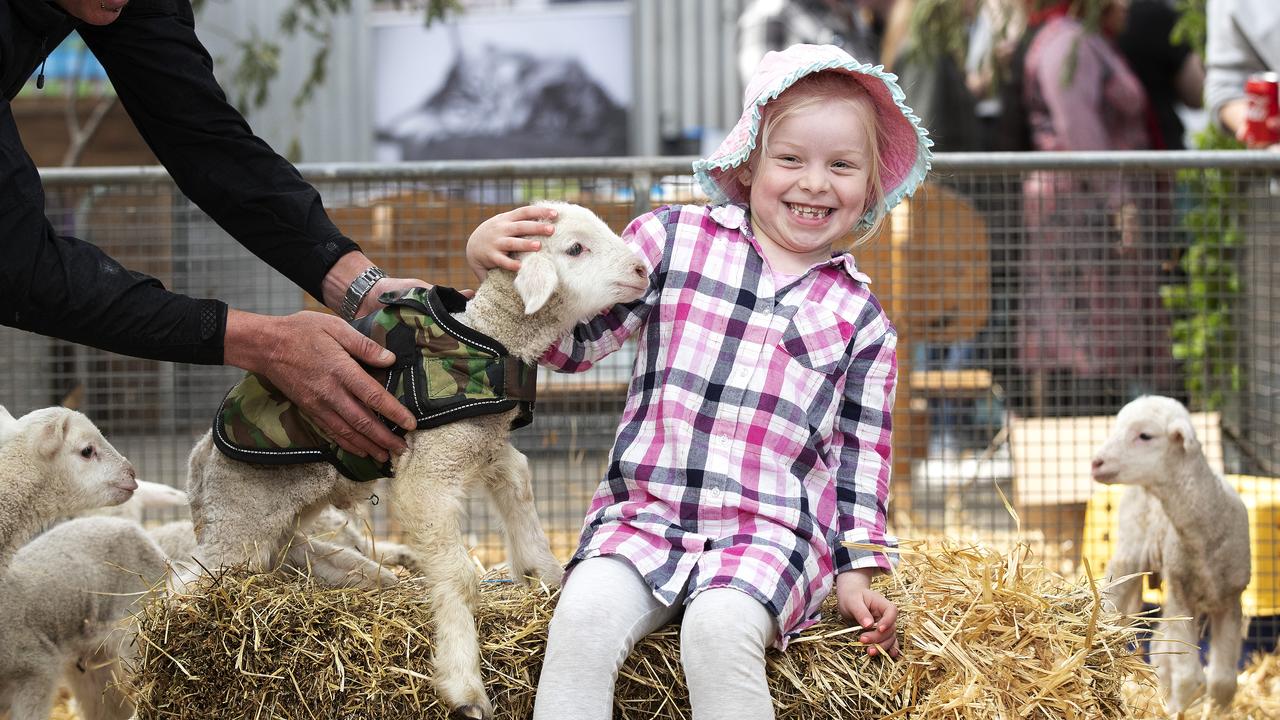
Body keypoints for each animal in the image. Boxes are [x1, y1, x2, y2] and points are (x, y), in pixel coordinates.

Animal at [180, 202, 650, 717]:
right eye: (575, 248)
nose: (643, 270)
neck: (492, 337)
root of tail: (202, 460)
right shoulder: (429, 469)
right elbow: (459, 576)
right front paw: (464, 684)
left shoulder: (482, 444)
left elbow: (520, 486)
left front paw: (542, 574)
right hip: (244, 510)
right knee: (193, 580)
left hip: (282, 508)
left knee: (286, 552)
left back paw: (365, 575)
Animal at [1090, 392, 1249, 712]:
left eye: (1145, 436)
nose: (1095, 463)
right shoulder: (1181, 593)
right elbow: (1189, 678)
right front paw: (1178, 710)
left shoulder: (1230, 600)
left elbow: (1223, 681)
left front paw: (1217, 711)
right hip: (1130, 551)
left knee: (1161, 646)